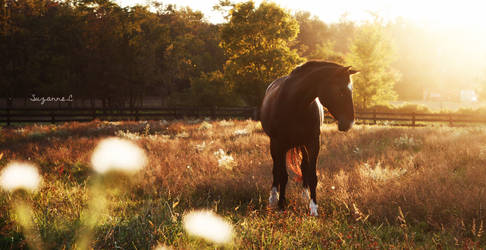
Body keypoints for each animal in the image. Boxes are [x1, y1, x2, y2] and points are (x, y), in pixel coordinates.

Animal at [260, 61, 358, 217]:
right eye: (340, 90)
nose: (349, 123)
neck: (294, 103)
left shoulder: (313, 143)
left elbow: (312, 175)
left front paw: (313, 208)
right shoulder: (280, 144)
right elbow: (282, 175)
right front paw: (281, 206)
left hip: (301, 145)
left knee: (303, 167)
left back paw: (304, 195)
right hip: (275, 146)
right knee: (276, 169)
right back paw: (273, 198)